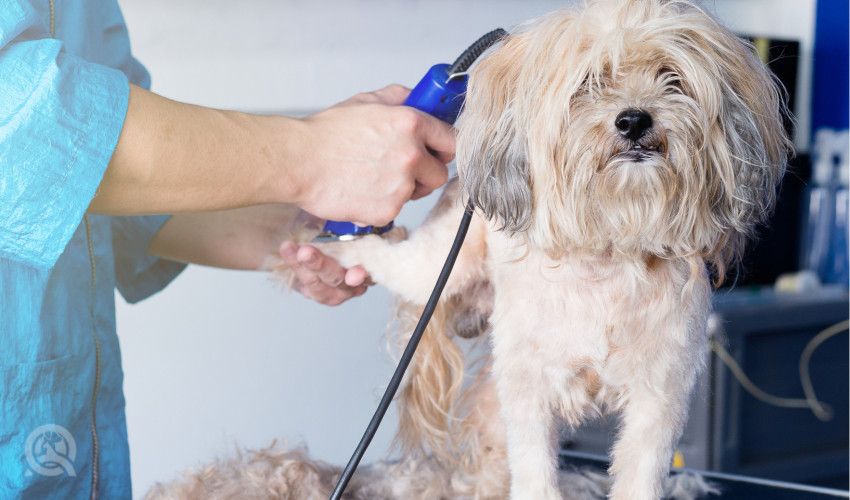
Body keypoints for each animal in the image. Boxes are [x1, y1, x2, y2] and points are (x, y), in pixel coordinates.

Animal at [147, 0, 788, 500]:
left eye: (671, 77)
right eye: (590, 83)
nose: (634, 120)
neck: (609, 249)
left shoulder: (660, 397)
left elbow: (640, 474)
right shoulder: (528, 391)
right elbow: (535, 474)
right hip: (437, 268)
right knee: (393, 261)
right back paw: (344, 244)